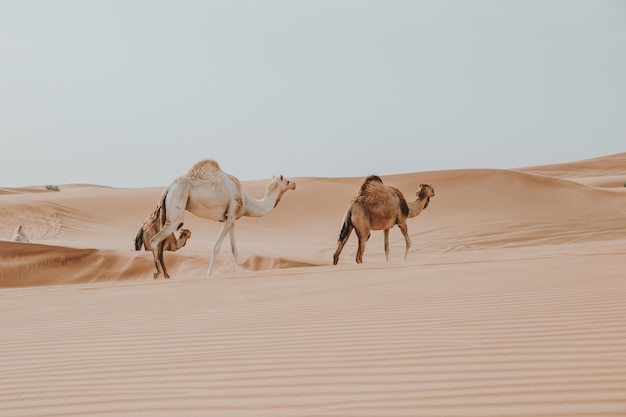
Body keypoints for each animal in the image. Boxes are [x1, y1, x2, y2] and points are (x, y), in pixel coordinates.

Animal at [149, 159, 294, 280]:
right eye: (286, 180)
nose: (294, 184)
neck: (246, 201)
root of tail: (168, 188)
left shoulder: (231, 218)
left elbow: (234, 248)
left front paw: (237, 272)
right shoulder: (231, 215)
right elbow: (216, 247)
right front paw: (209, 273)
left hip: (166, 211)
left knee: (160, 243)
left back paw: (166, 275)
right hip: (177, 205)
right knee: (155, 240)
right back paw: (157, 273)